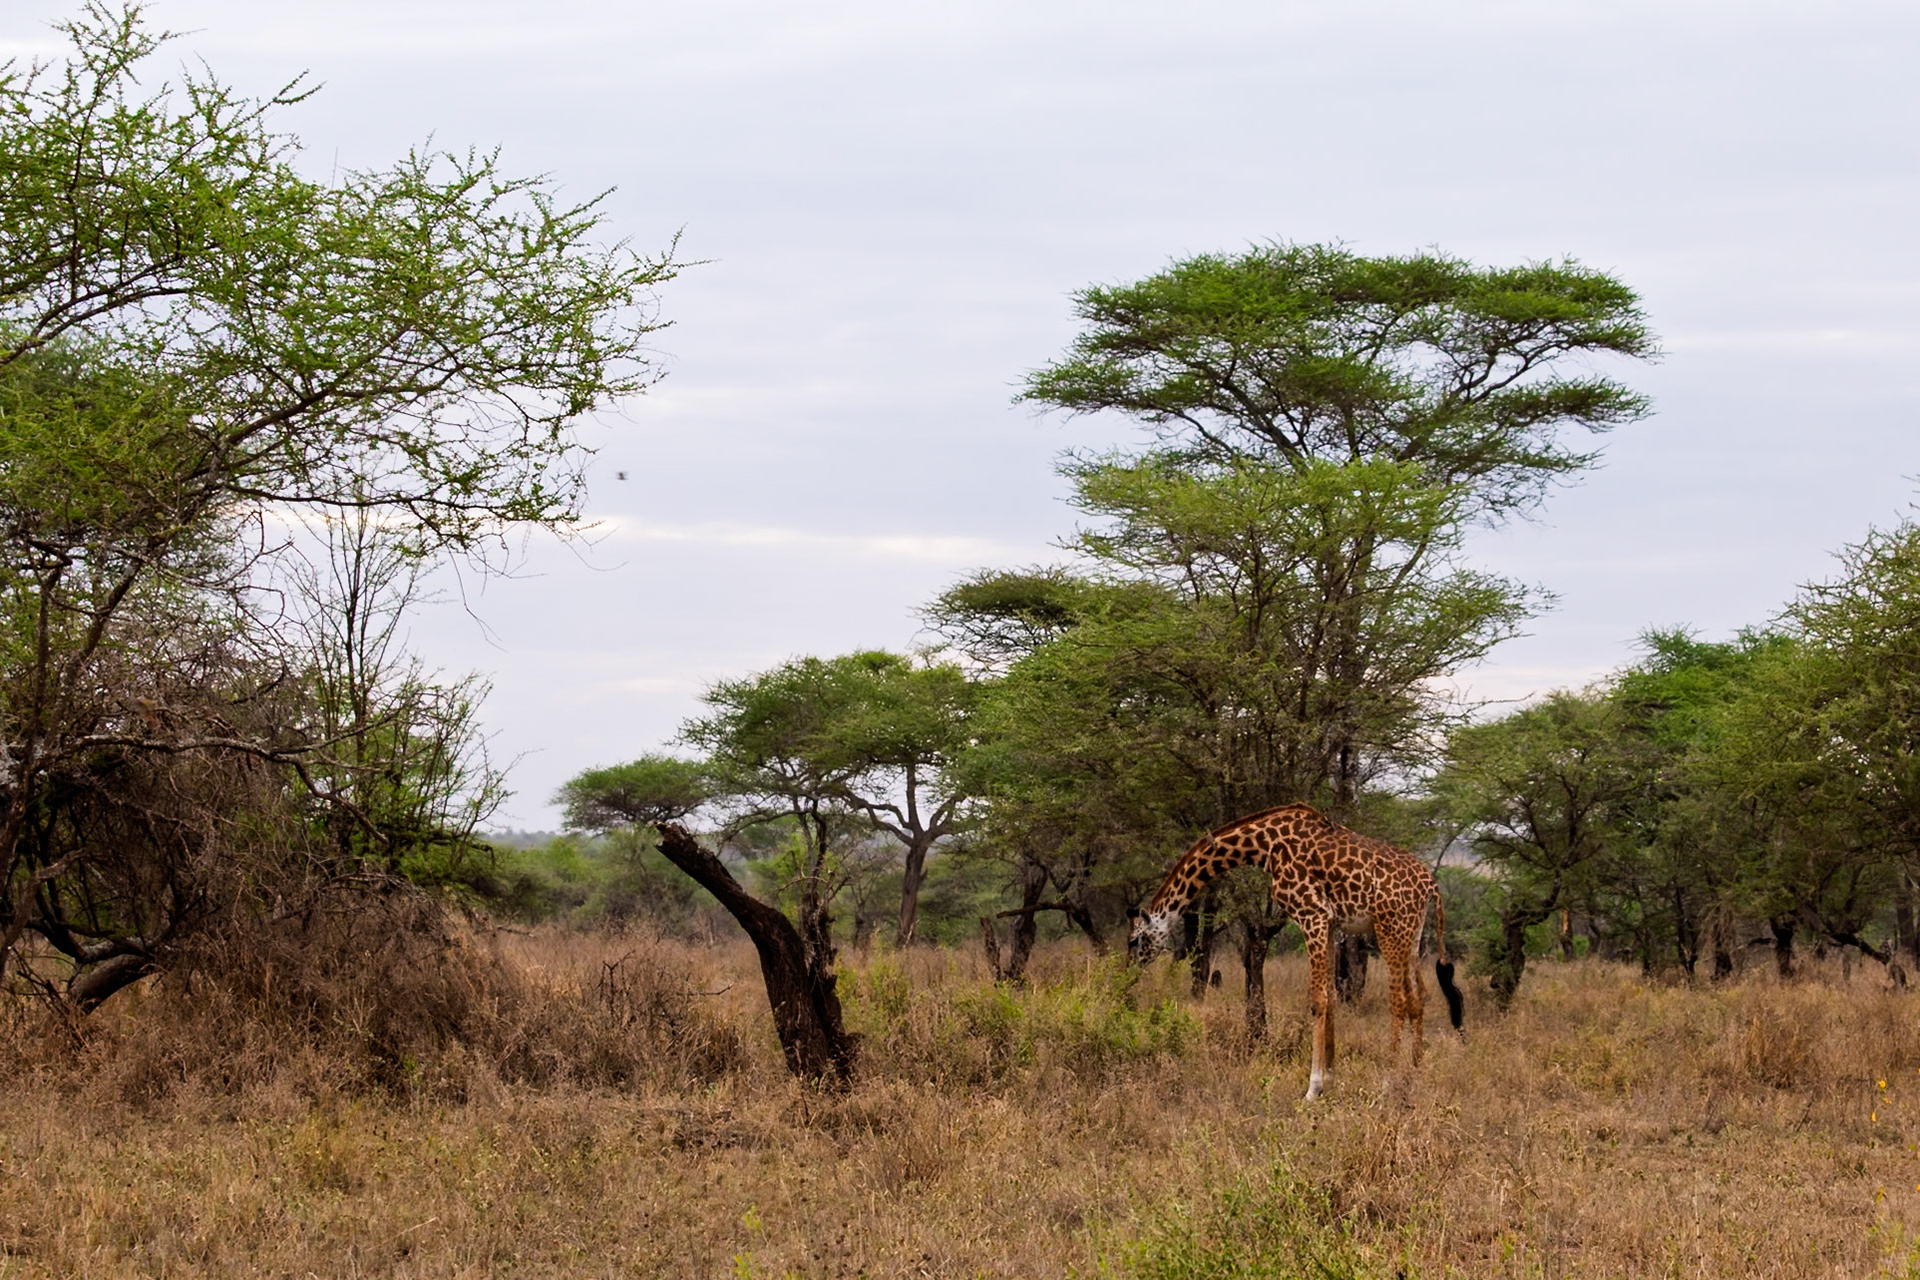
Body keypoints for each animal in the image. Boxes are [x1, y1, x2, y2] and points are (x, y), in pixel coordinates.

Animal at [1127, 803, 1464, 1100]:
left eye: (1134, 940)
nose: (1129, 972)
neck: (1264, 847)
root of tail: (1431, 885)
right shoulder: (1330, 922)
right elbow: (1331, 997)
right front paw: (1331, 1080)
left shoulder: (1311, 914)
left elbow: (1317, 1001)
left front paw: (1313, 1089)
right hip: (1412, 932)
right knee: (1419, 996)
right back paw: (1414, 1074)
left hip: (1390, 927)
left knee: (1399, 1000)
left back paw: (1388, 1079)